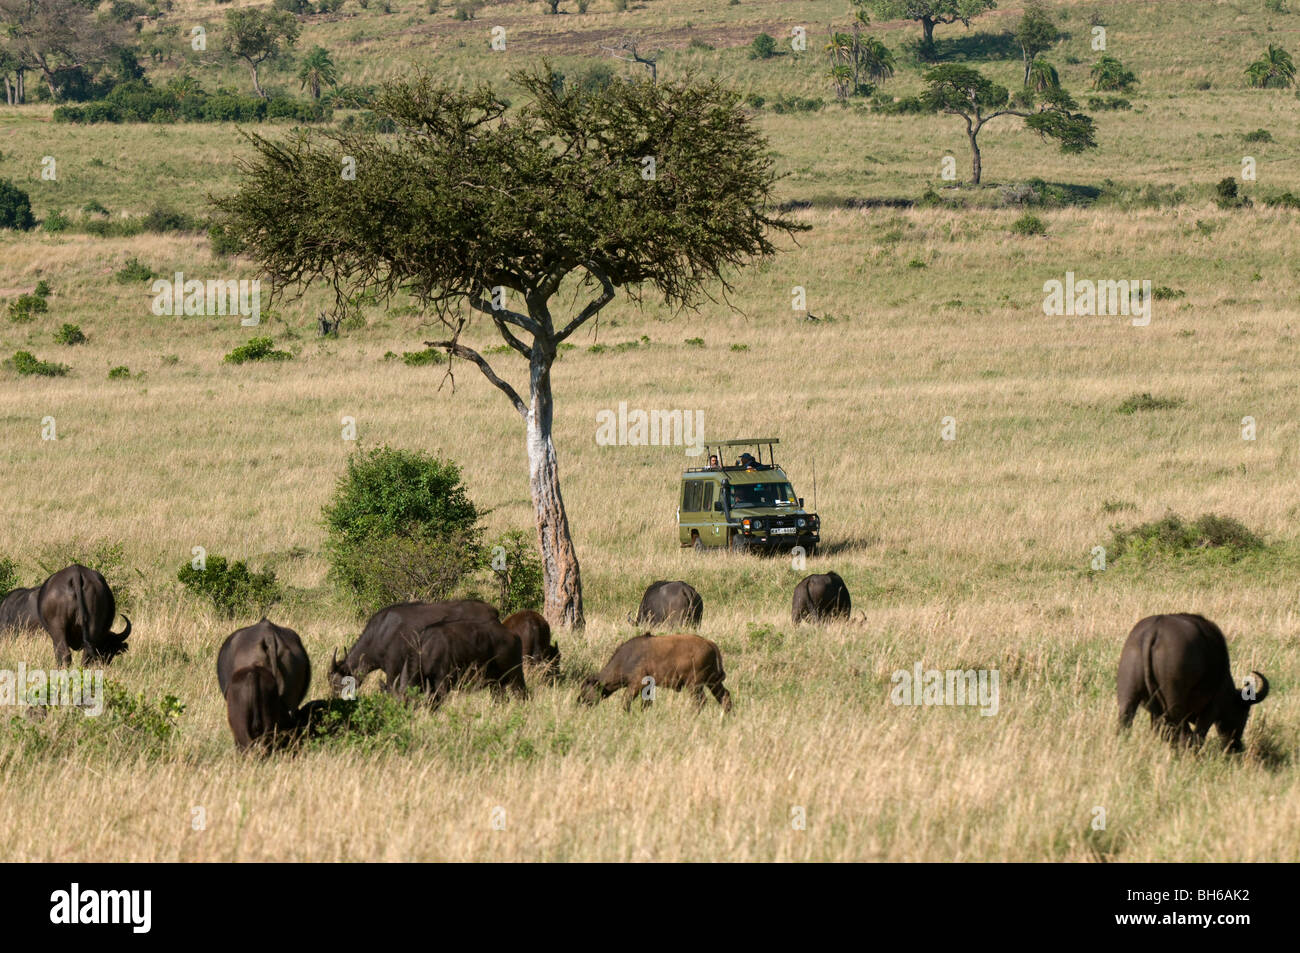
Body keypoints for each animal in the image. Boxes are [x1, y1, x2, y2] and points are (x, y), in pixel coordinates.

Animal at [582, 634, 733, 712]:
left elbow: (626, 701)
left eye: (585, 689)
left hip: (694, 685)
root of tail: (710, 644)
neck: (626, 658)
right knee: (724, 696)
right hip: (713, 682)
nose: (580, 701)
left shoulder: (637, 684)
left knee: (701, 701)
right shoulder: (648, 687)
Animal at [1118, 613, 1268, 754]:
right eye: (1244, 713)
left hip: (1128, 697)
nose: (1236, 746)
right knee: (1179, 731)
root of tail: (1154, 630)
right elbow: (1198, 733)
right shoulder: (1212, 707)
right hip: (1174, 704)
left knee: (1126, 721)